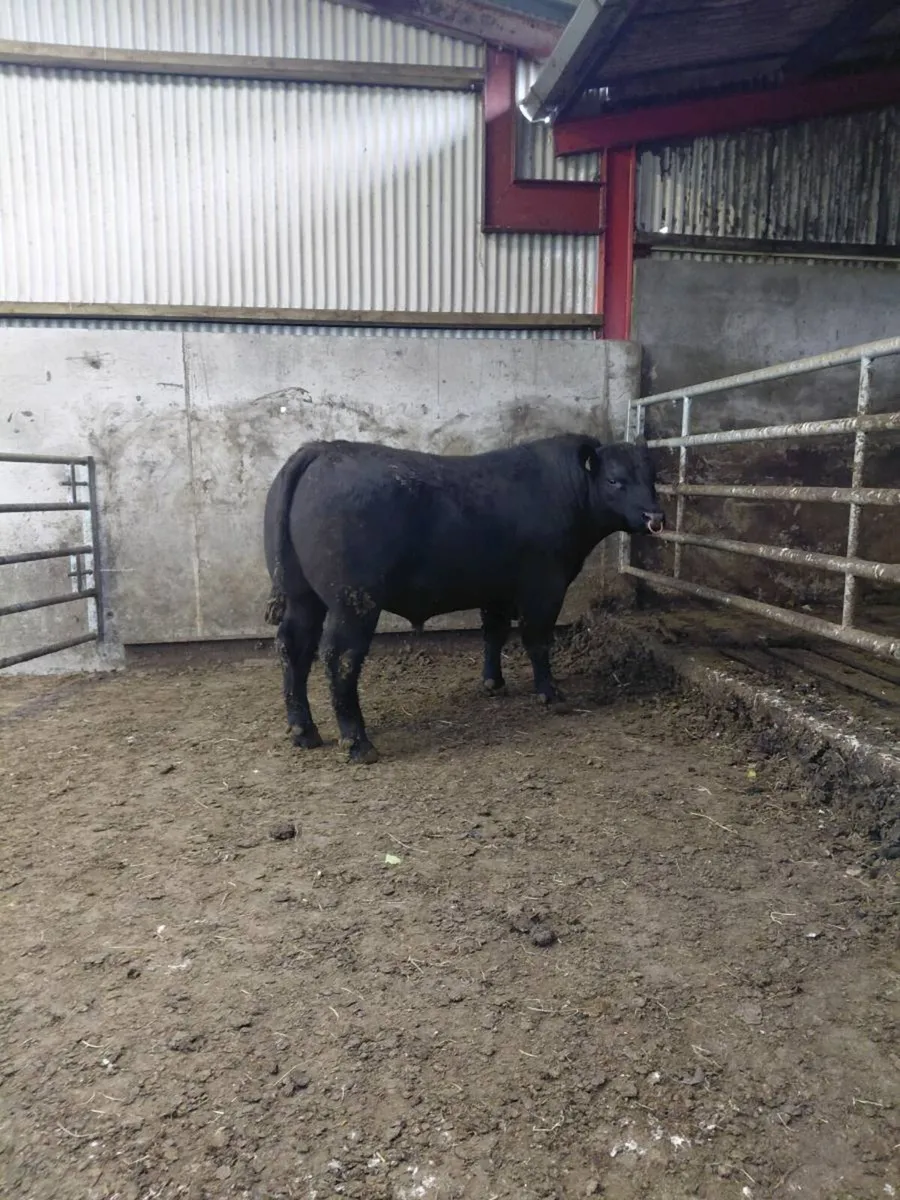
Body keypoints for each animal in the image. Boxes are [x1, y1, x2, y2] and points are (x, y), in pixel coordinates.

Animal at [263, 435, 665, 764]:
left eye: (652, 477)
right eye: (614, 480)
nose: (655, 516)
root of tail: (322, 448)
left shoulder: (497, 587)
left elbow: (494, 632)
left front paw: (493, 683)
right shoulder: (545, 586)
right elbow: (537, 640)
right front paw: (550, 693)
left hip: (302, 596)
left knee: (293, 647)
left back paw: (303, 731)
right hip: (354, 602)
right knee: (340, 658)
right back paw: (357, 743)